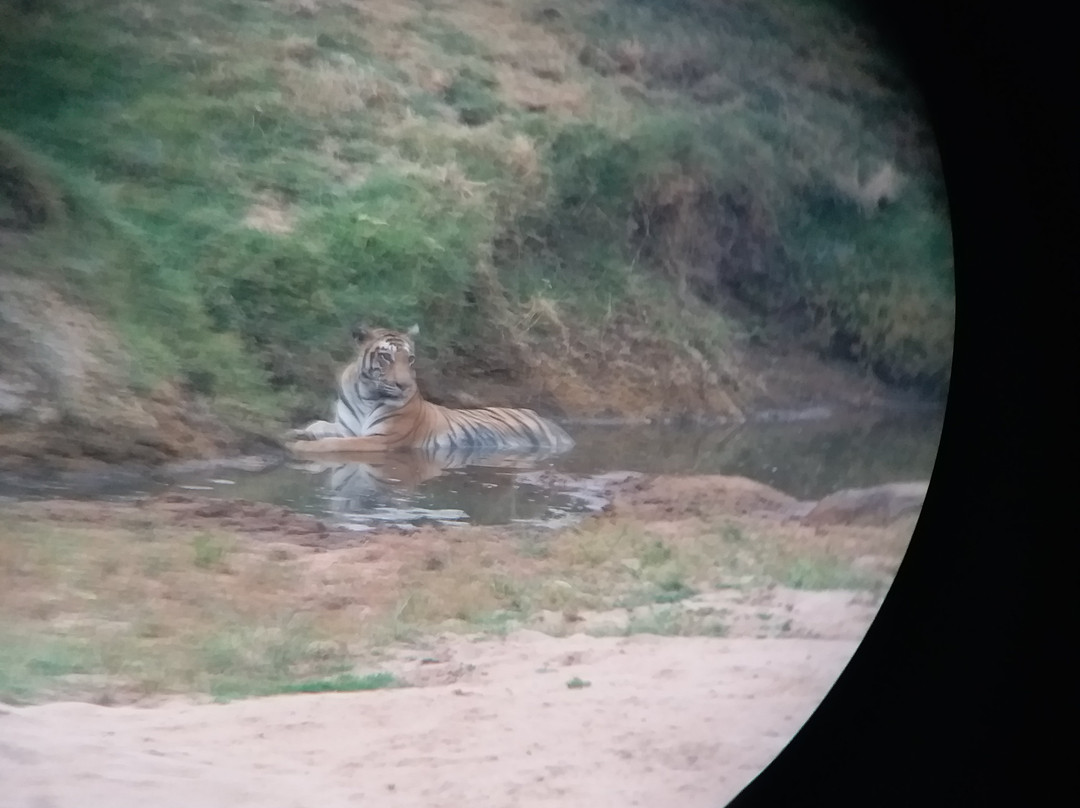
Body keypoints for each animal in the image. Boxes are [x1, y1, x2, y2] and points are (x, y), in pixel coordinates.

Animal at [285, 324, 575, 456]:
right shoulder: (346, 427)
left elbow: (334, 444)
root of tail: (551, 423)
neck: (365, 394)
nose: (403, 385)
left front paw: (300, 446)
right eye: (386, 357)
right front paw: (296, 432)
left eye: (410, 359)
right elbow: (320, 426)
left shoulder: (379, 439)